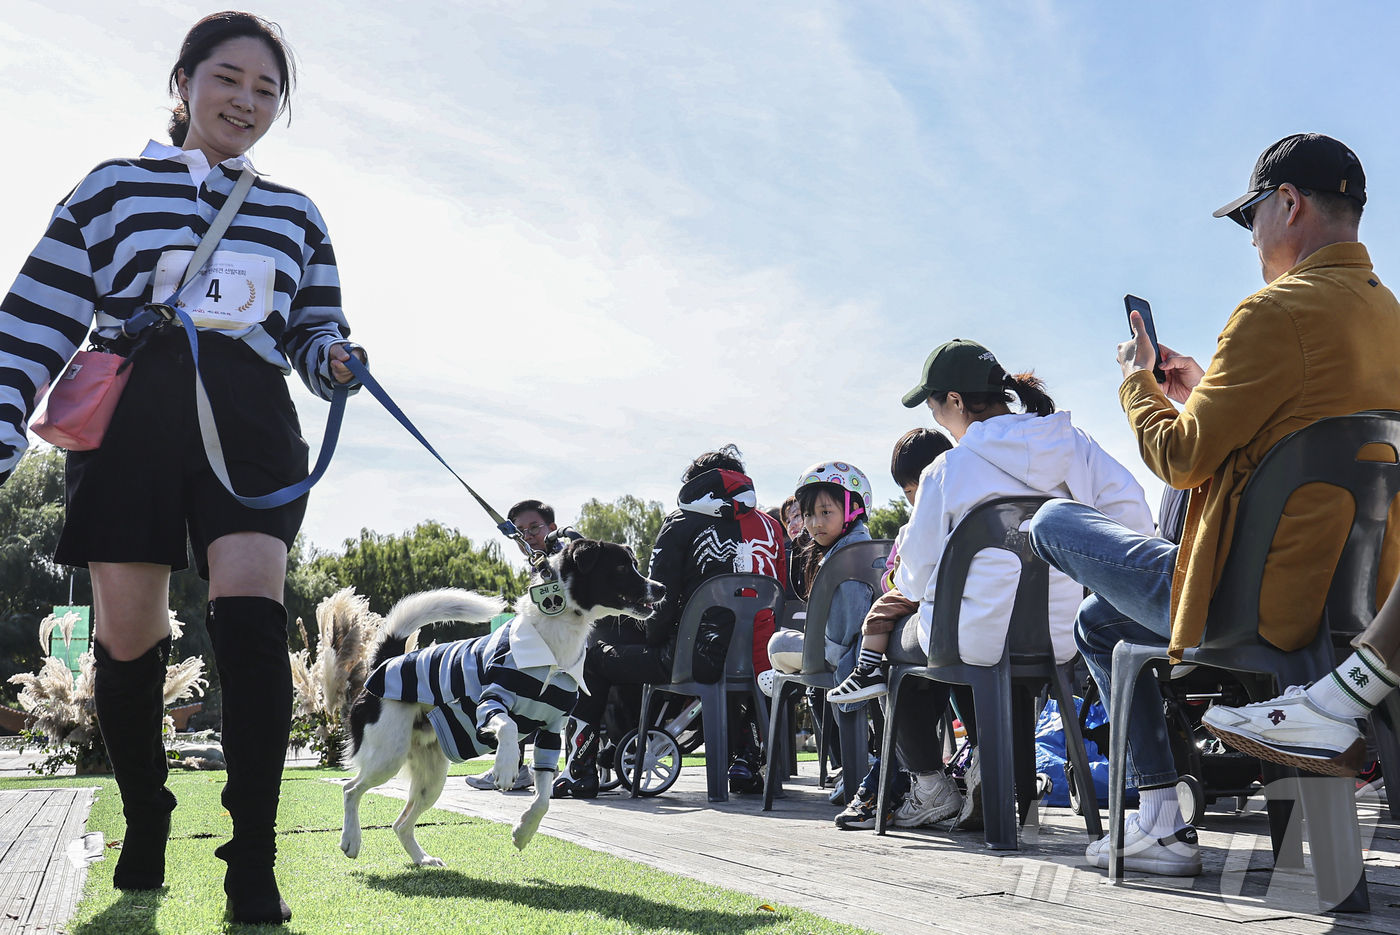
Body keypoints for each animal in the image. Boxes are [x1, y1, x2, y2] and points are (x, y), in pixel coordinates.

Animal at [340, 537, 666, 867]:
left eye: (635, 565)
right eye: (622, 567)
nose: (662, 588)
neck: (557, 636)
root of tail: (386, 661)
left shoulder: (551, 731)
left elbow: (544, 798)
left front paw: (524, 831)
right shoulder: (490, 702)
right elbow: (508, 726)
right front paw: (505, 767)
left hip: (431, 777)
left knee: (400, 823)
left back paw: (422, 859)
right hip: (387, 755)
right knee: (351, 789)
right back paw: (351, 840)